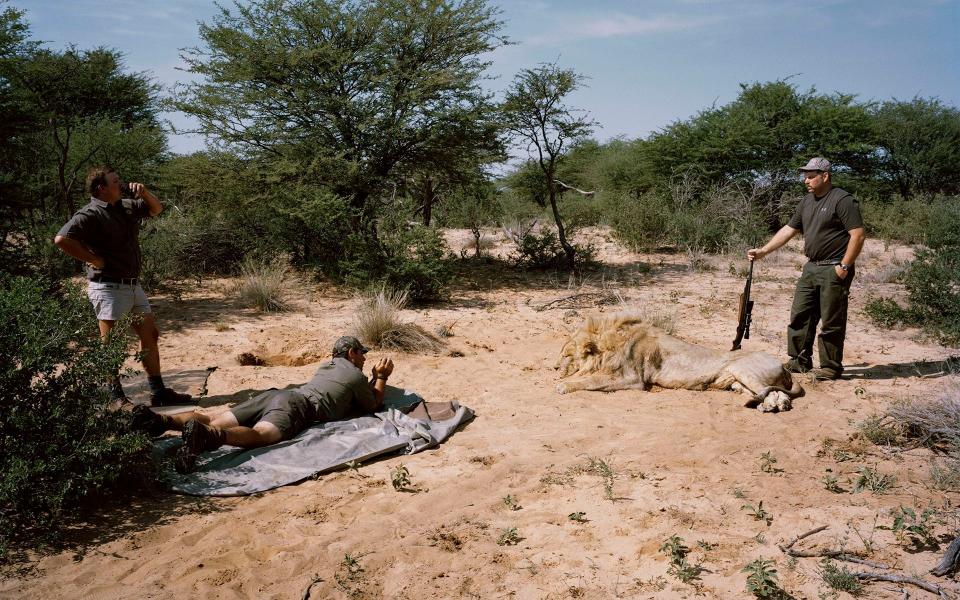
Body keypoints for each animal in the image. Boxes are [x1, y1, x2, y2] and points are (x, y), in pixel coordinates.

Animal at [556, 312, 804, 410]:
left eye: (566, 355)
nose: (554, 367)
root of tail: (783, 365)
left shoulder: (633, 379)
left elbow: (592, 381)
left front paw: (563, 385)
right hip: (738, 382)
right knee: (777, 394)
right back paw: (768, 406)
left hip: (744, 370)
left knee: (774, 393)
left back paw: (769, 406)